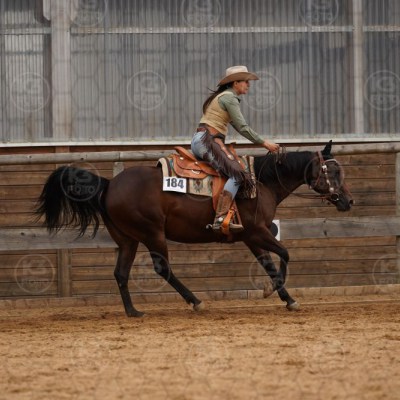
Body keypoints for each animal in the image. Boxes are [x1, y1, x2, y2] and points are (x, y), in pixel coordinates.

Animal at [35, 141, 353, 317]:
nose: (348, 201)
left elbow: (269, 264)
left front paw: (288, 299)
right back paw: (195, 302)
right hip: (152, 234)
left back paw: (133, 311)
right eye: (335, 171)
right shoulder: (257, 232)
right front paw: (271, 291)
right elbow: (285, 255)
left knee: (121, 273)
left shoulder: (251, 237)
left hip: (128, 240)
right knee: (162, 269)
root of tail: (110, 184)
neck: (261, 181)